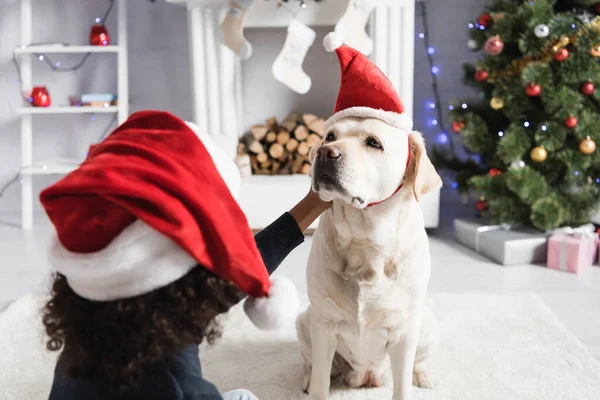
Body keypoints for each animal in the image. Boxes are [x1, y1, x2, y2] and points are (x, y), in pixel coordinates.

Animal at [298, 116, 442, 400]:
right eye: (330, 136)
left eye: (373, 142)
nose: (324, 153)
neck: (364, 242)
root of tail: (366, 375)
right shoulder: (323, 324)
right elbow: (321, 380)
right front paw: (315, 386)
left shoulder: (404, 332)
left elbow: (402, 387)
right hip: (305, 320)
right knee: (312, 364)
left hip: (427, 324)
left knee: (418, 361)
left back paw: (425, 375)